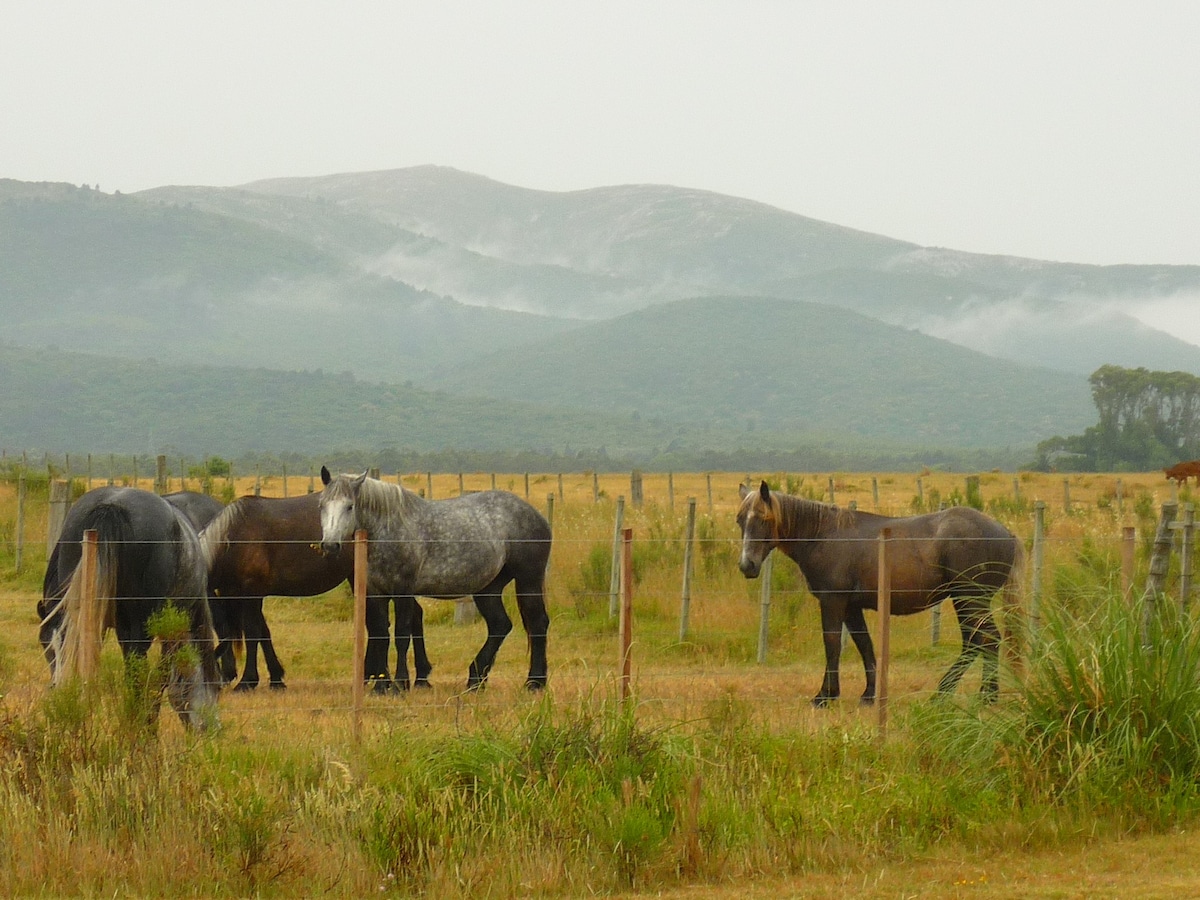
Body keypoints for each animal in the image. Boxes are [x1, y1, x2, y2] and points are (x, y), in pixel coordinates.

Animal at [38, 487, 222, 734]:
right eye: (218, 688)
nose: (210, 730)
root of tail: (110, 506)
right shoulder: (168, 633)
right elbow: (160, 680)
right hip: (139, 631)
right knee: (137, 681)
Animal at [200, 494, 432, 691]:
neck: (233, 537)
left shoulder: (251, 593)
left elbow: (252, 634)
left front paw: (247, 681)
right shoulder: (244, 595)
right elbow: (262, 632)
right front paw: (276, 678)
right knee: (399, 619)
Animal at [314, 465, 549, 691]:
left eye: (349, 506)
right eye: (322, 505)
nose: (330, 545)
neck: (390, 530)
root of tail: (536, 515)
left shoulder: (403, 591)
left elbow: (401, 635)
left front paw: (400, 684)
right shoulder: (375, 592)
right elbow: (380, 634)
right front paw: (381, 686)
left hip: (528, 581)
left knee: (538, 623)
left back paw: (535, 682)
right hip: (488, 588)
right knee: (500, 625)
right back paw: (475, 680)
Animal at [734, 482, 1027, 710]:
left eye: (763, 519)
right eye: (740, 520)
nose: (747, 565)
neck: (824, 536)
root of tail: (1007, 534)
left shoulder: (833, 602)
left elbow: (832, 645)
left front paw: (825, 696)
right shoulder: (852, 608)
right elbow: (865, 645)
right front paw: (869, 695)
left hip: (970, 600)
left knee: (985, 640)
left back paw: (972, 695)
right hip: (966, 602)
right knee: (978, 642)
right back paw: (971, 694)